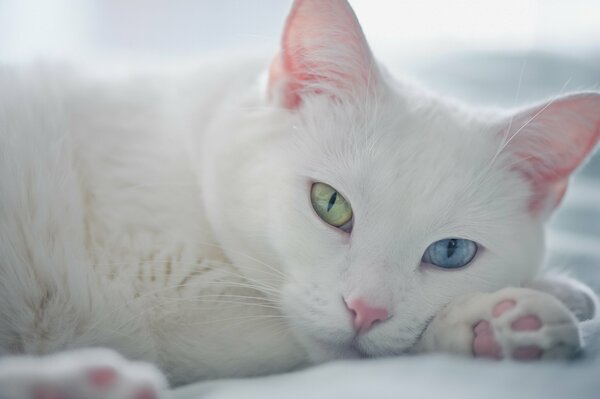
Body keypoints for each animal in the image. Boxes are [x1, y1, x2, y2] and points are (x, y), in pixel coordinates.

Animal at [1, 0, 600, 398]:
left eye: (451, 252)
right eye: (330, 203)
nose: (365, 309)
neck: (190, 152)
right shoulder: (170, 307)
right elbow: (340, 350)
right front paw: (503, 317)